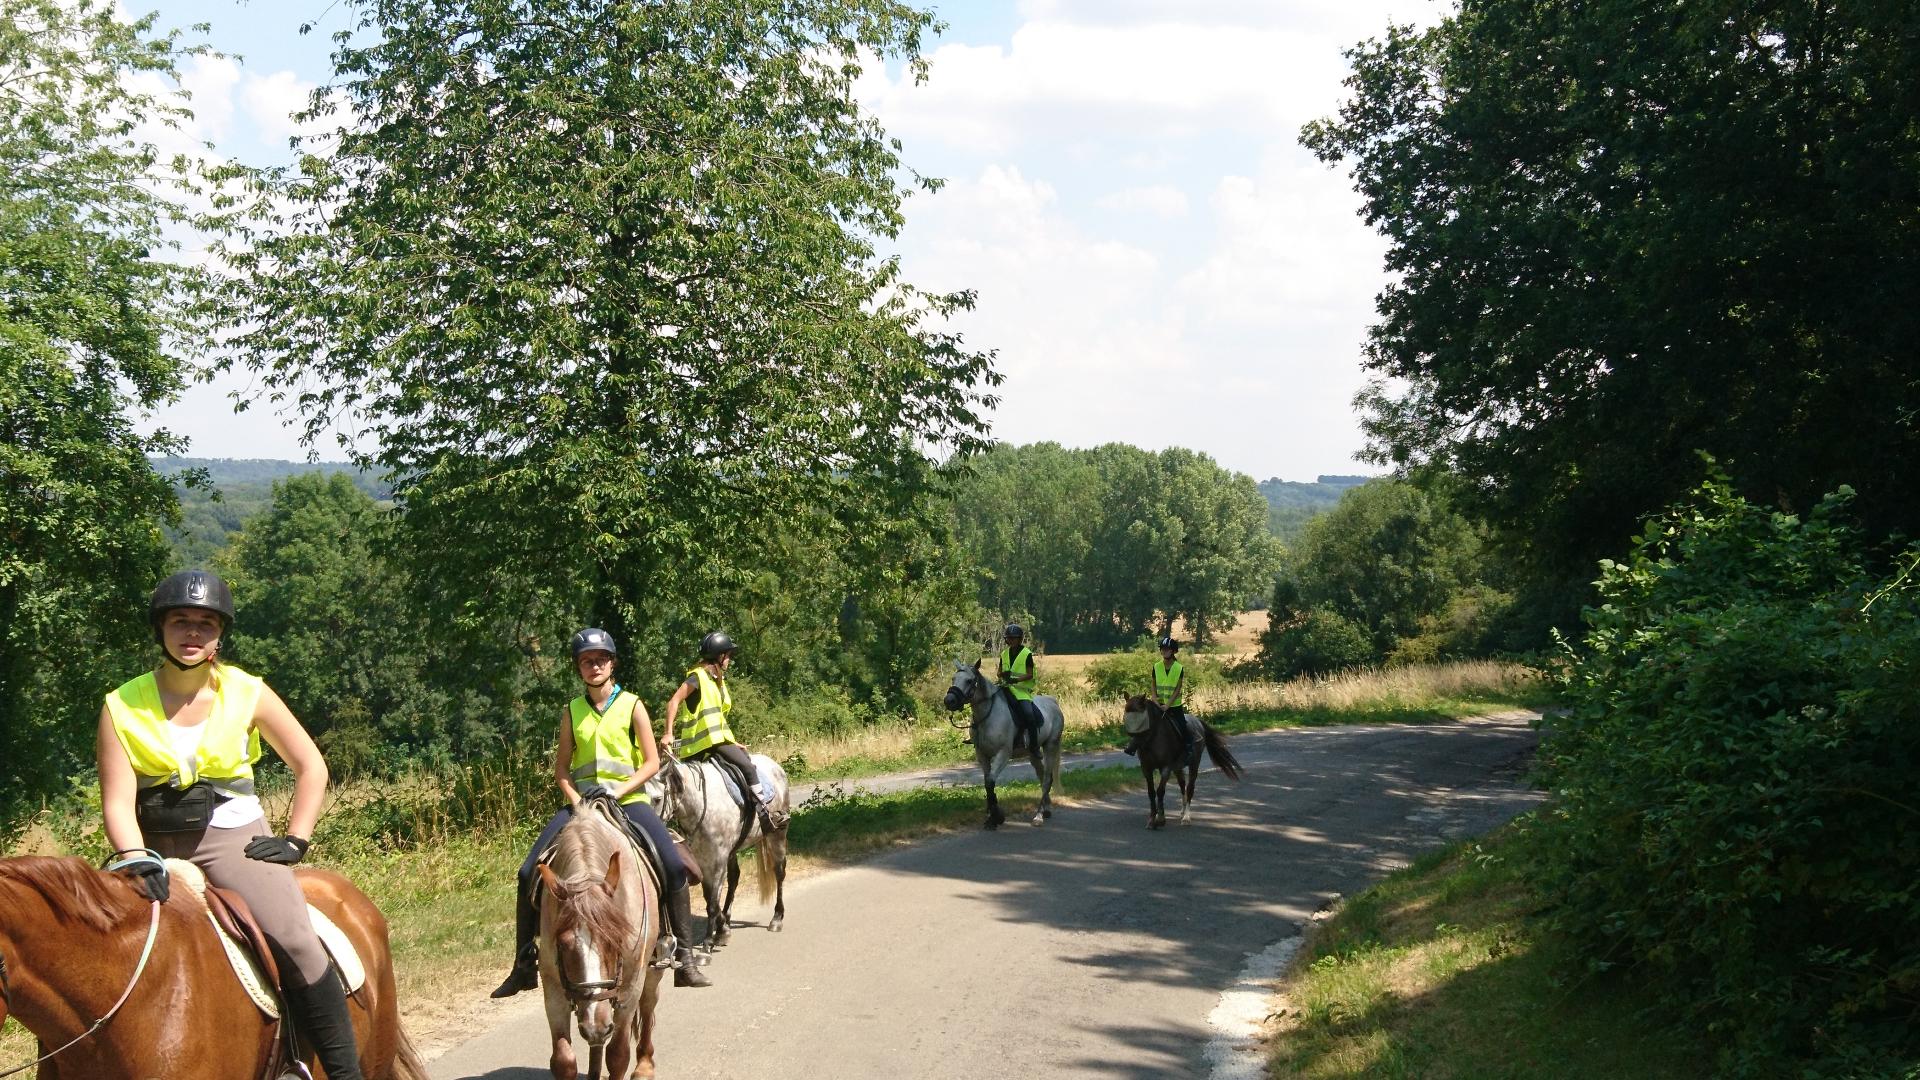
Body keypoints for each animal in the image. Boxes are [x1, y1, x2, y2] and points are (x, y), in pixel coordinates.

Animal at [537, 799, 664, 1076]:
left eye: (617, 940)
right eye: (562, 943)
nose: (597, 1026)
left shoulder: (630, 988)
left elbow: (618, 1055)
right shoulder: (552, 986)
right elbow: (563, 1060)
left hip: (651, 971)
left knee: (649, 1006)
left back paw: (645, 1065)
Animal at [645, 749, 787, 941]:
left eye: (657, 799)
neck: (700, 805)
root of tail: (775, 765)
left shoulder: (718, 858)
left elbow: (713, 899)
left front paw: (718, 934)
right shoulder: (702, 858)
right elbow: (709, 895)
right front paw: (722, 928)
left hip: (777, 834)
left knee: (779, 872)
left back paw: (777, 918)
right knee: (734, 877)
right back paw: (727, 916)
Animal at [940, 657, 1067, 822]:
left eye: (969, 681)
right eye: (953, 678)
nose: (949, 701)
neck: (987, 715)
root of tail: (1053, 702)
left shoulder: (1003, 754)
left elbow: (990, 782)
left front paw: (995, 817)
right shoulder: (982, 755)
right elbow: (987, 782)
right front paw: (992, 813)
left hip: (1050, 746)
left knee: (1047, 779)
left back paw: (1039, 815)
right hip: (1033, 753)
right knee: (1041, 775)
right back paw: (1046, 809)